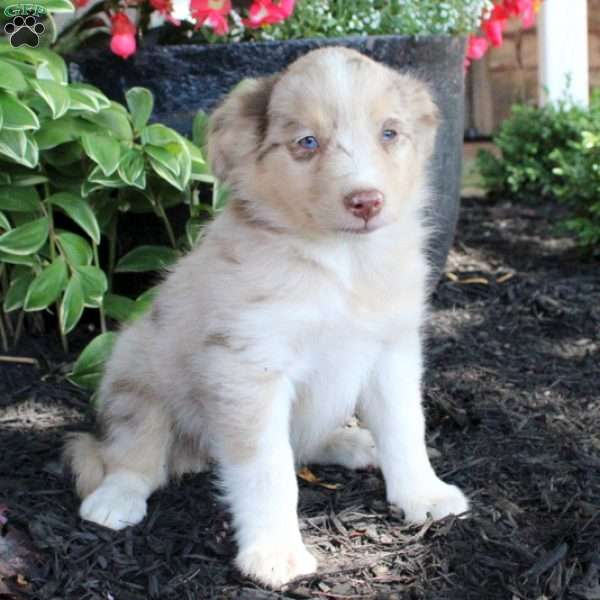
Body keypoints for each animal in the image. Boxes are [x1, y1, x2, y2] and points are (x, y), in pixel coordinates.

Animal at [65, 45, 468, 584]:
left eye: (389, 133)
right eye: (307, 142)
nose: (366, 201)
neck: (342, 264)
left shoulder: (392, 351)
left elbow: (406, 428)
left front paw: (423, 494)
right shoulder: (249, 368)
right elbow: (268, 470)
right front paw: (275, 552)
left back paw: (354, 444)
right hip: (135, 380)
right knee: (134, 455)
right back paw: (115, 498)